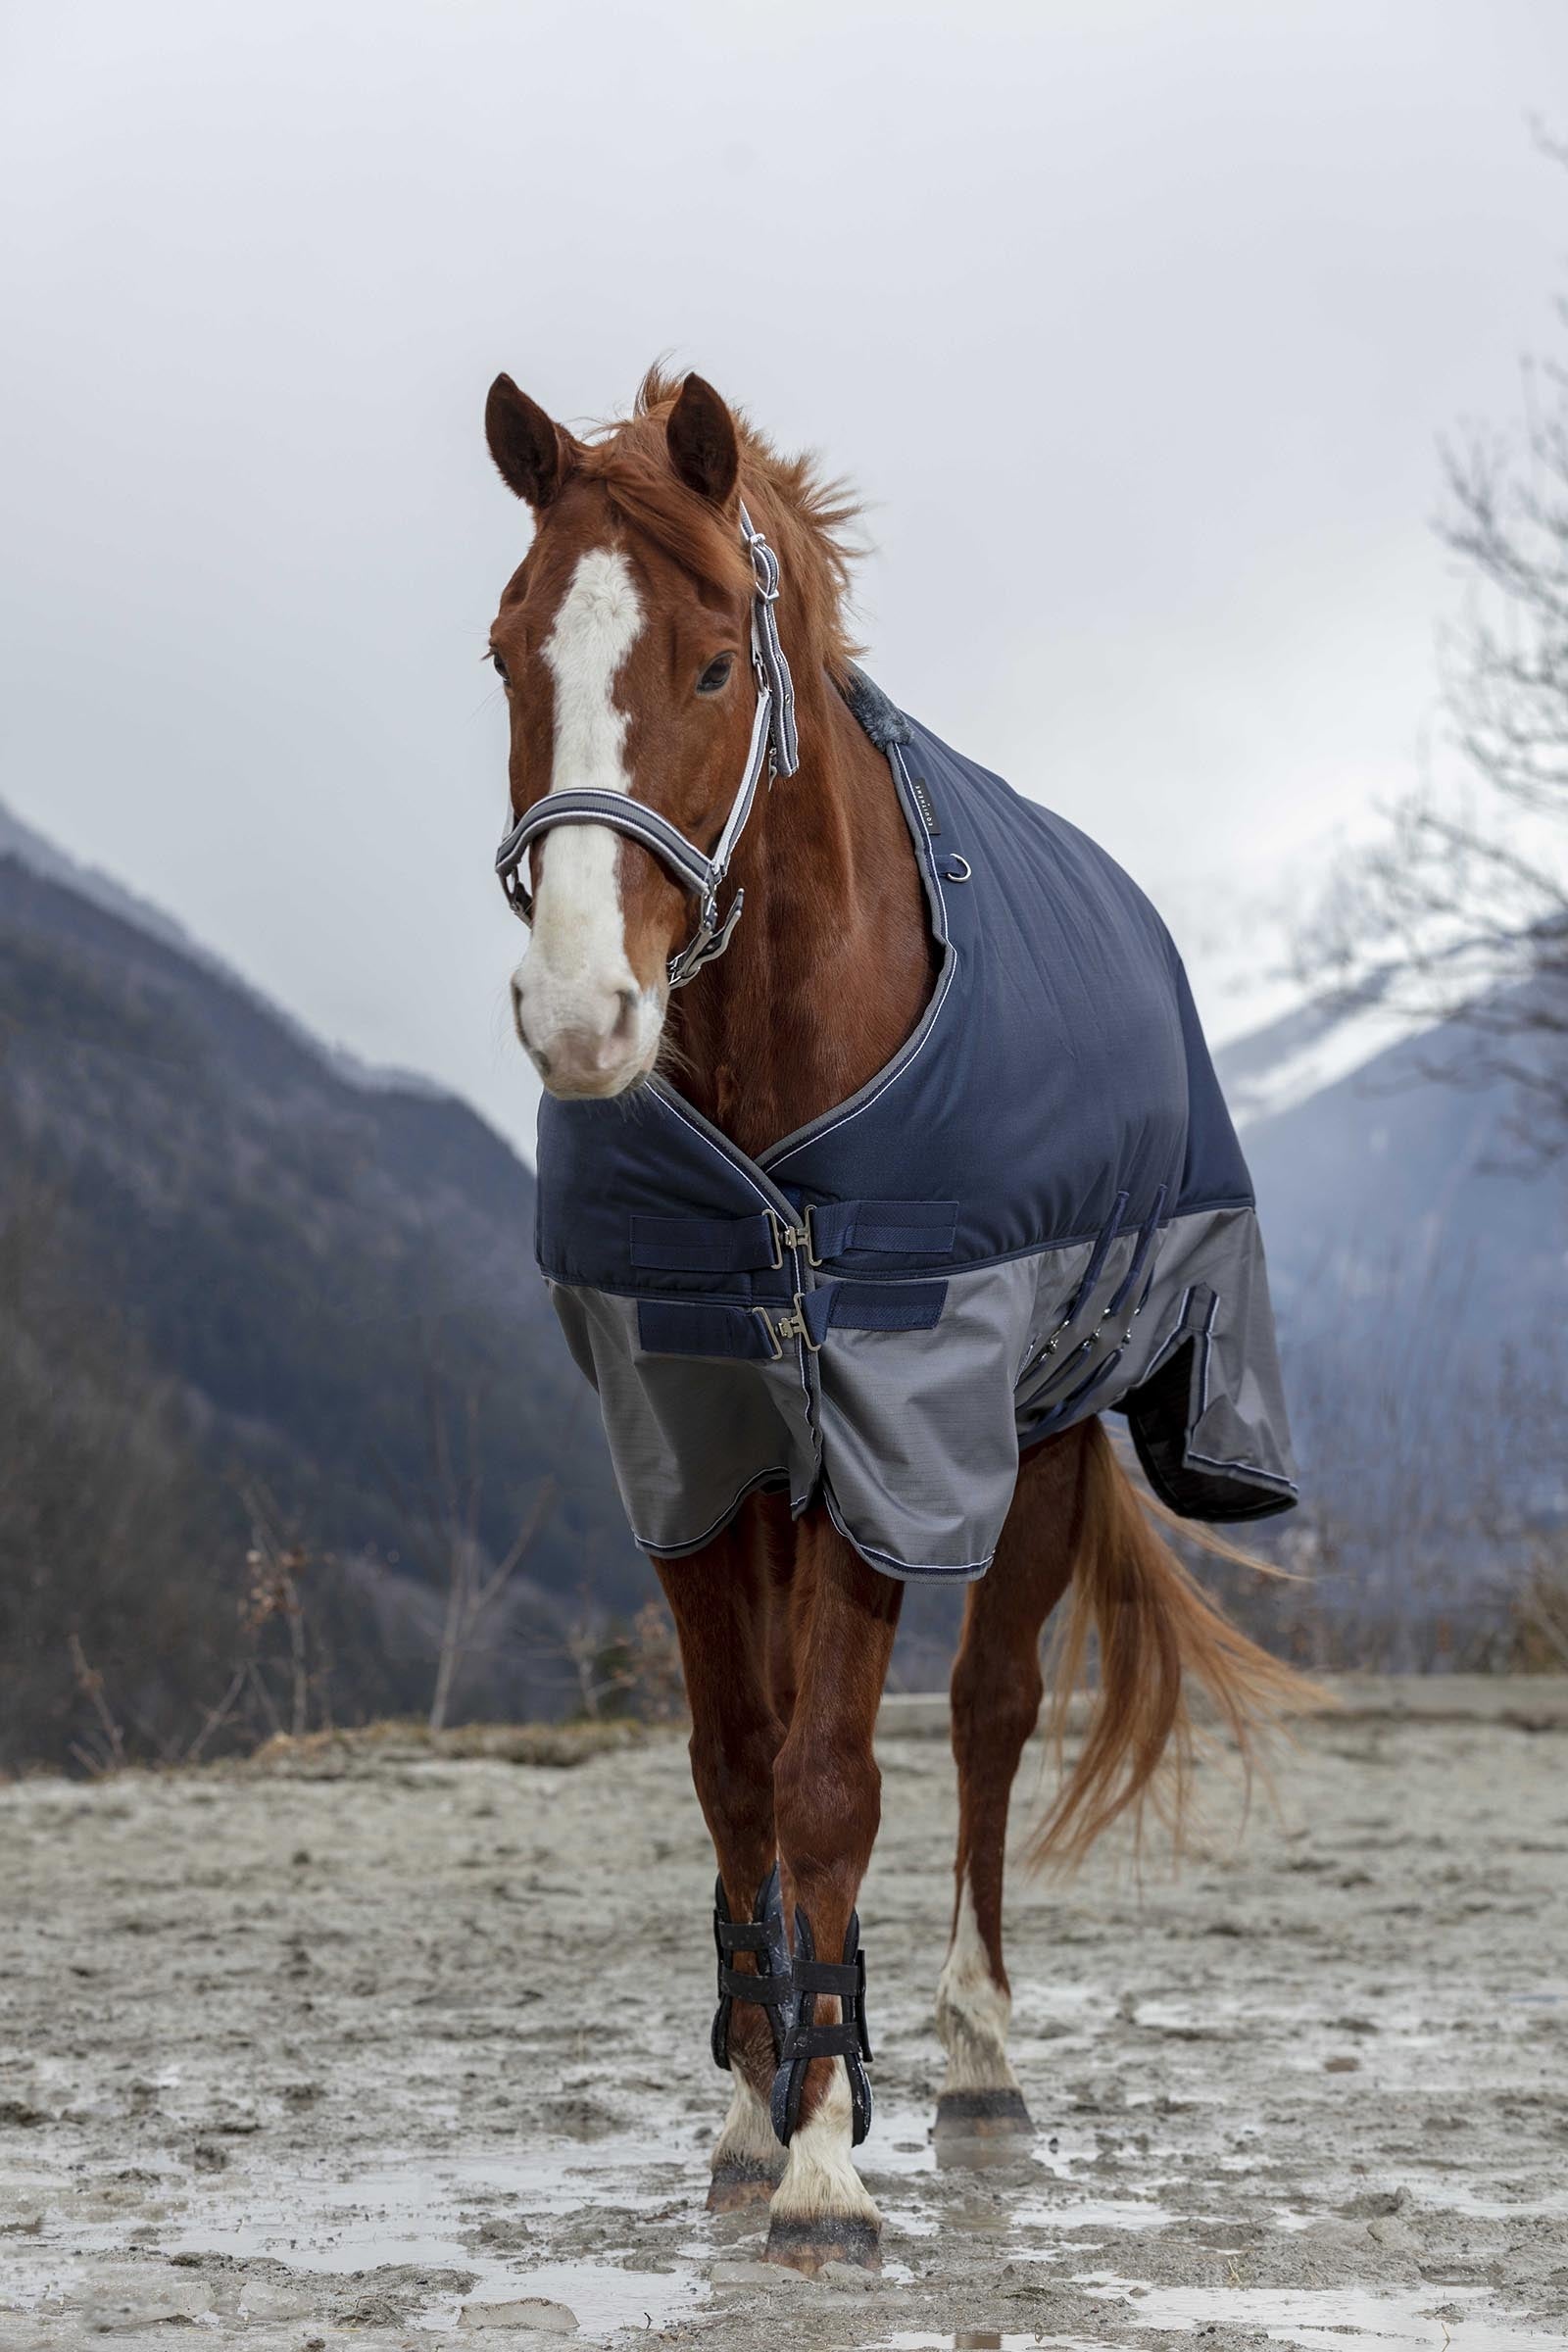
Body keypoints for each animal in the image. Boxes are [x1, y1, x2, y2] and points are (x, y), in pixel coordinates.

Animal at [480, 365, 1314, 2275]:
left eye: (715, 664)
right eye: (504, 656)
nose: (579, 1012)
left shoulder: (896, 1417)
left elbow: (843, 1782)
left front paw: (824, 2163)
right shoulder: (690, 1435)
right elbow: (741, 1769)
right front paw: (755, 2101)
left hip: (1047, 1435)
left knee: (995, 1717)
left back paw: (976, 2057)